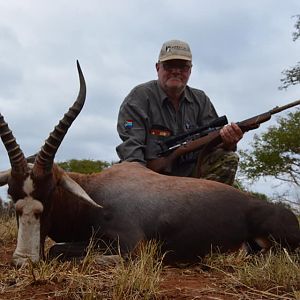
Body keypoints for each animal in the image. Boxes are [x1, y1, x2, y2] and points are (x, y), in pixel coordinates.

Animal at [0, 61, 300, 268]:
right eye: (12, 195)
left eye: (50, 193)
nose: (23, 260)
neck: (96, 192)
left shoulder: (132, 246)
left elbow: (58, 250)